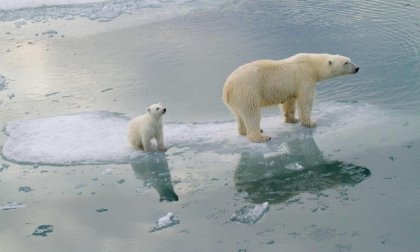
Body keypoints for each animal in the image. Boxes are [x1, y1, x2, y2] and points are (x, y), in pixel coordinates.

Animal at [225, 53, 360, 142]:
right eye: (346, 62)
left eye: (349, 59)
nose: (357, 68)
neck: (312, 65)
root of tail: (227, 87)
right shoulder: (305, 78)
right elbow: (305, 100)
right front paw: (310, 122)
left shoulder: (291, 87)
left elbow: (289, 102)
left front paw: (292, 119)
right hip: (248, 90)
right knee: (251, 113)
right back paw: (261, 136)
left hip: (237, 98)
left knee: (240, 115)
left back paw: (246, 131)